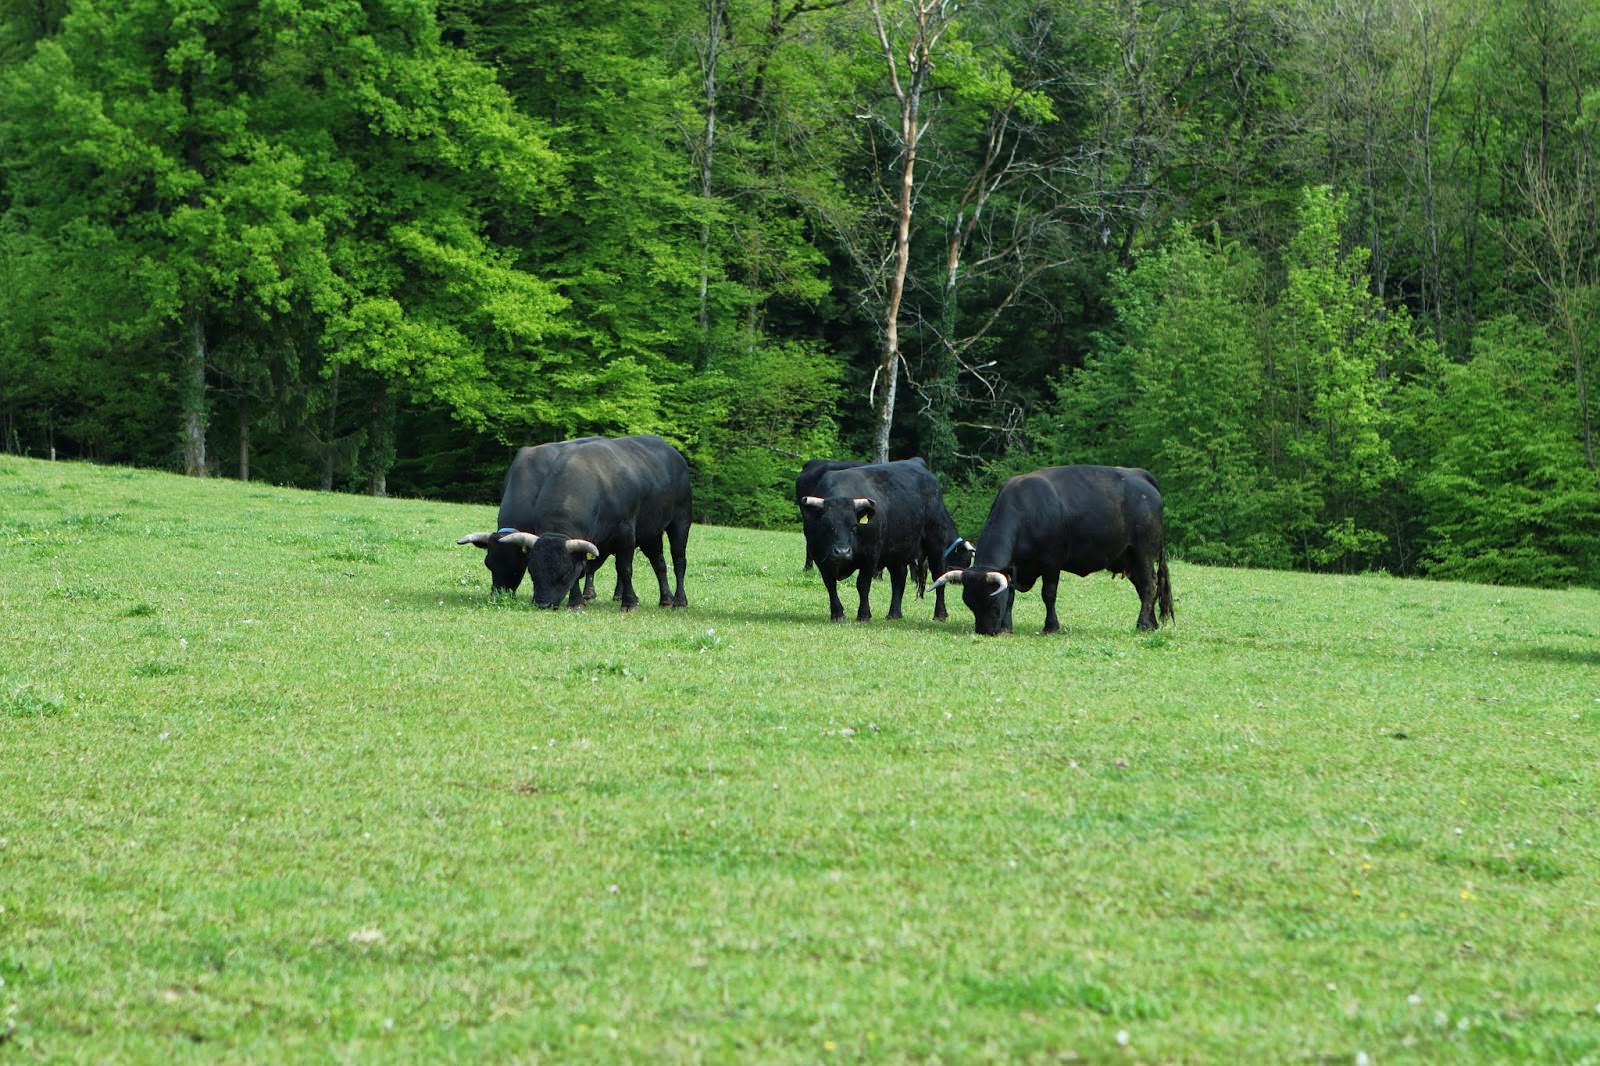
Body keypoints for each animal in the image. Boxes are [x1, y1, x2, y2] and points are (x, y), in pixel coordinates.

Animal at [457, 435, 691, 611]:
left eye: (516, 566)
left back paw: (678, 600)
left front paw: (629, 603)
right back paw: (663, 599)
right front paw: (577, 601)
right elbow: (583, 568)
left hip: (679, 521)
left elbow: (624, 568)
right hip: (650, 531)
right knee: (658, 563)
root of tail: (672, 452)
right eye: (489, 564)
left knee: (678, 561)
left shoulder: (625, 533)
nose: (498, 596)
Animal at [799, 459, 973, 623]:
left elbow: (862, 584)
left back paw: (940, 614)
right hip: (897, 551)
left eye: (854, 526)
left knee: (938, 576)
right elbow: (830, 585)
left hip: (935, 545)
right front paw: (837, 614)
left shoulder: (870, 556)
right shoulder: (820, 558)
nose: (842, 552)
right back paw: (894, 613)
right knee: (898, 579)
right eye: (826, 526)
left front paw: (864, 615)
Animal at [932, 465, 1173, 636]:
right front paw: (1007, 627)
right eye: (970, 603)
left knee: (1150, 586)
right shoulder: (1012, 568)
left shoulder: (1051, 563)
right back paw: (1152, 623)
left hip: (1144, 553)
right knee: (1144, 587)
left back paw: (1143, 624)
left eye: (991, 603)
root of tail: (1139, 475)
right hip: (1128, 559)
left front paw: (1051, 626)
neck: (1026, 510)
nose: (985, 631)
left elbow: (1048, 594)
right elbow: (1010, 595)